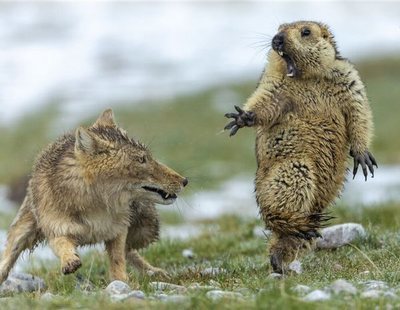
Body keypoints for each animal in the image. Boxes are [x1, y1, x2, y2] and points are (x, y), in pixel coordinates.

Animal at [0, 108, 188, 284]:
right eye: (141, 160)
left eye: (149, 157)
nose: (185, 181)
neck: (96, 206)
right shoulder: (57, 229)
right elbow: (62, 244)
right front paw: (69, 261)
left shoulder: (118, 230)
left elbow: (118, 258)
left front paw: (121, 281)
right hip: (22, 231)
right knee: (8, 255)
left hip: (146, 230)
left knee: (130, 251)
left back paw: (154, 272)